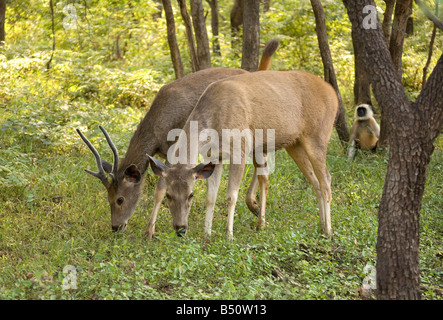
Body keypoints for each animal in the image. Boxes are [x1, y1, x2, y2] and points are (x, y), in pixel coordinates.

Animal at [147, 70, 338, 240]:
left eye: (191, 195)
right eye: (168, 195)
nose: (180, 229)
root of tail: (333, 94)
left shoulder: (240, 149)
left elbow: (231, 195)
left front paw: (229, 235)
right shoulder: (213, 157)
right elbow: (210, 197)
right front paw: (206, 234)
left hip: (318, 135)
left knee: (326, 179)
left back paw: (329, 230)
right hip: (295, 144)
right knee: (315, 181)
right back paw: (321, 226)